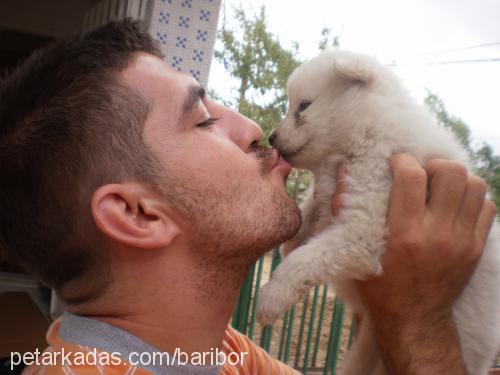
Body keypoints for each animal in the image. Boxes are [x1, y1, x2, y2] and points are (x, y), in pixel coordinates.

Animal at [258, 48, 500, 374]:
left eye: (303, 106)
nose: (271, 137)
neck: (368, 129)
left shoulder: (366, 227)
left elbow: (302, 259)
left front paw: (271, 297)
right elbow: (310, 212)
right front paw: (295, 230)